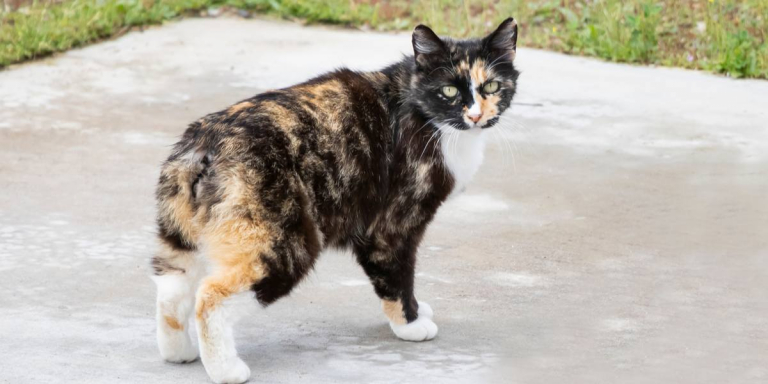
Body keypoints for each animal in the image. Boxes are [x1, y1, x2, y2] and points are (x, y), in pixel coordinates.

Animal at [152, 18, 520, 384]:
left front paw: (416, 311)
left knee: (171, 290)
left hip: (181, 237)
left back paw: (178, 353)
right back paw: (226, 370)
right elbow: (397, 277)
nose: (476, 116)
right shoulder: (391, 226)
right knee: (210, 297)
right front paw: (410, 323)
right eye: (449, 91)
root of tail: (203, 143)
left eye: (491, 86)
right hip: (286, 243)